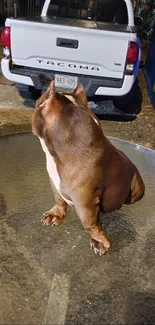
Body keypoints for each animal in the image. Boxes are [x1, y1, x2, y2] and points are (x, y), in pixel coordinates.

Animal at [32, 81, 145, 256]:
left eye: (38, 102)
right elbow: (59, 199)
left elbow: (90, 223)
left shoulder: (85, 202)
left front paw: (100, 241)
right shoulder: (54, 181)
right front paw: (55, 214)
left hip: (136, 188)